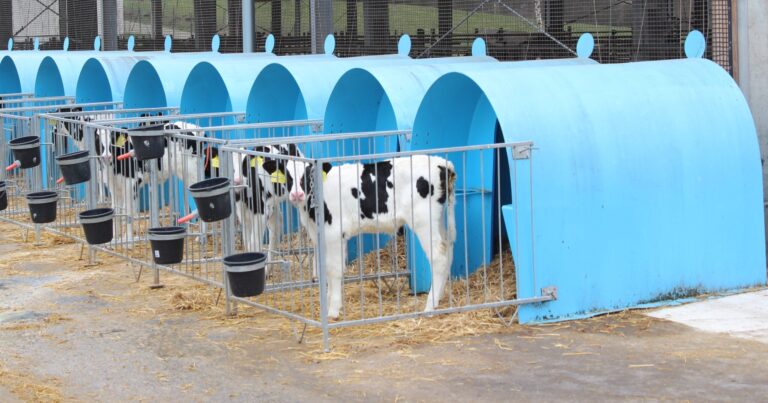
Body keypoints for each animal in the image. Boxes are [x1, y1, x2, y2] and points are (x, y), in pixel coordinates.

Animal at [264, 155, 457, 319]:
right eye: (287, 175)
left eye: (307, 175)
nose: (297, 194)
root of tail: (441, 163)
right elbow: (327, 269)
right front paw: (328, 305)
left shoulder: (333, 233)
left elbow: (334, 269)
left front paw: (333, 311)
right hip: (438, 220)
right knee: (447, 250)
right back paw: (439, 299)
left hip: (424, 220)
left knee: (438, 256)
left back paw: (430, 307)